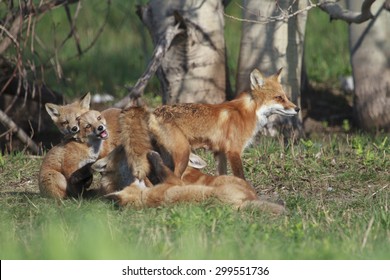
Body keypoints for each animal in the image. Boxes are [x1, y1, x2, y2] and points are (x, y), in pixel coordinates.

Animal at [149, 66, 298, 178]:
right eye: (278, 98)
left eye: (285, 97)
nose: (297, 108)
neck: (248, 113)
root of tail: (154, 112)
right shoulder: (234, 151)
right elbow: (241, 177)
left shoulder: (219, 153)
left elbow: (223, 176)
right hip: (183, 153)